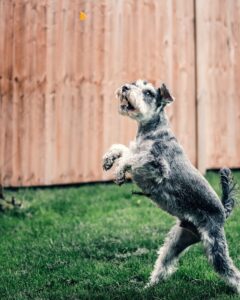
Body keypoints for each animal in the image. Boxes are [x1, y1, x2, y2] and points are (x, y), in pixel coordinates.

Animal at [101, 79, 240, 292]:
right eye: (135, 83)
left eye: (148, 92)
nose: (125, 87)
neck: (152, 131)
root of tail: (223, 211)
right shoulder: (139, 150)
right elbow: (124, 149)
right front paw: (109, 159)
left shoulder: (158, 165)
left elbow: (132, 157)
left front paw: (119, 170)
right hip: (177, 241)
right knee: (164, 263)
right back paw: (149, 286)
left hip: (215, 246)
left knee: (231, 272)